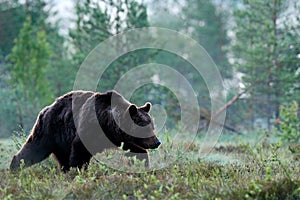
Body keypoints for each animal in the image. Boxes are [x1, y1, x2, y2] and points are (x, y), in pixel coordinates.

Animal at [9, 90, 161, 171]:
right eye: (145, 128)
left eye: (152, 126)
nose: (157, 142)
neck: (109, 124)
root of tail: (46, 108)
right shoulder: (90, 129)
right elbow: (80, 152)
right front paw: (79, 171)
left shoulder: (122, 139)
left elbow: (137, 151)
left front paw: (143, 166)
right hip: (49, 131)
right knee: (34, 148)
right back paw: (14, 168)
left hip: (61, 142)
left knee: (62, 159)